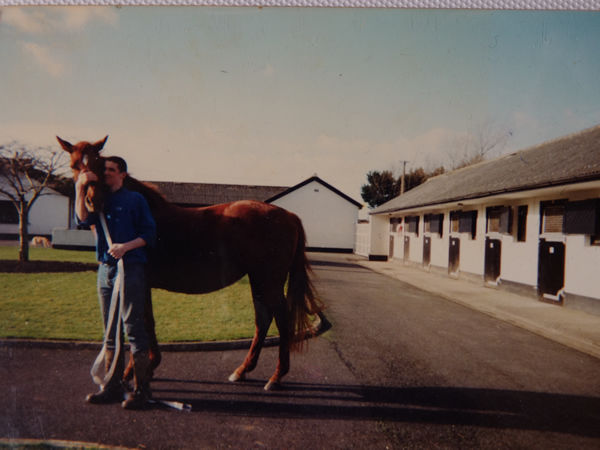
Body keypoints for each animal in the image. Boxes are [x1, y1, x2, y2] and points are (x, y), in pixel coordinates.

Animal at [57, 134, 324, 390]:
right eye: (73, 165)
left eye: (99, 164)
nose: (92, 202)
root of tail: (289, 215)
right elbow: (146, 321)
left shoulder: (138, 282)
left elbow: (143, 322)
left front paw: (134, 371)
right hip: (258, 280)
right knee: (263, 319)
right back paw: (242, 371)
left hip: (269, 280)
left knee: (281, 319)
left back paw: (276, 377)